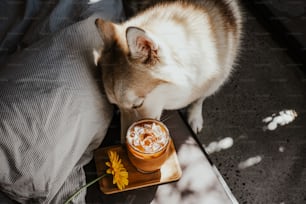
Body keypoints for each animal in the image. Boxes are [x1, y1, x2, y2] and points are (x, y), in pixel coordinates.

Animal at [94, 0, 243, 142]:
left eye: (138, 105)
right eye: (115, 105)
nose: (124, 146)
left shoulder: (215, 81)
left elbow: (199, 99)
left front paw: (195, 116)